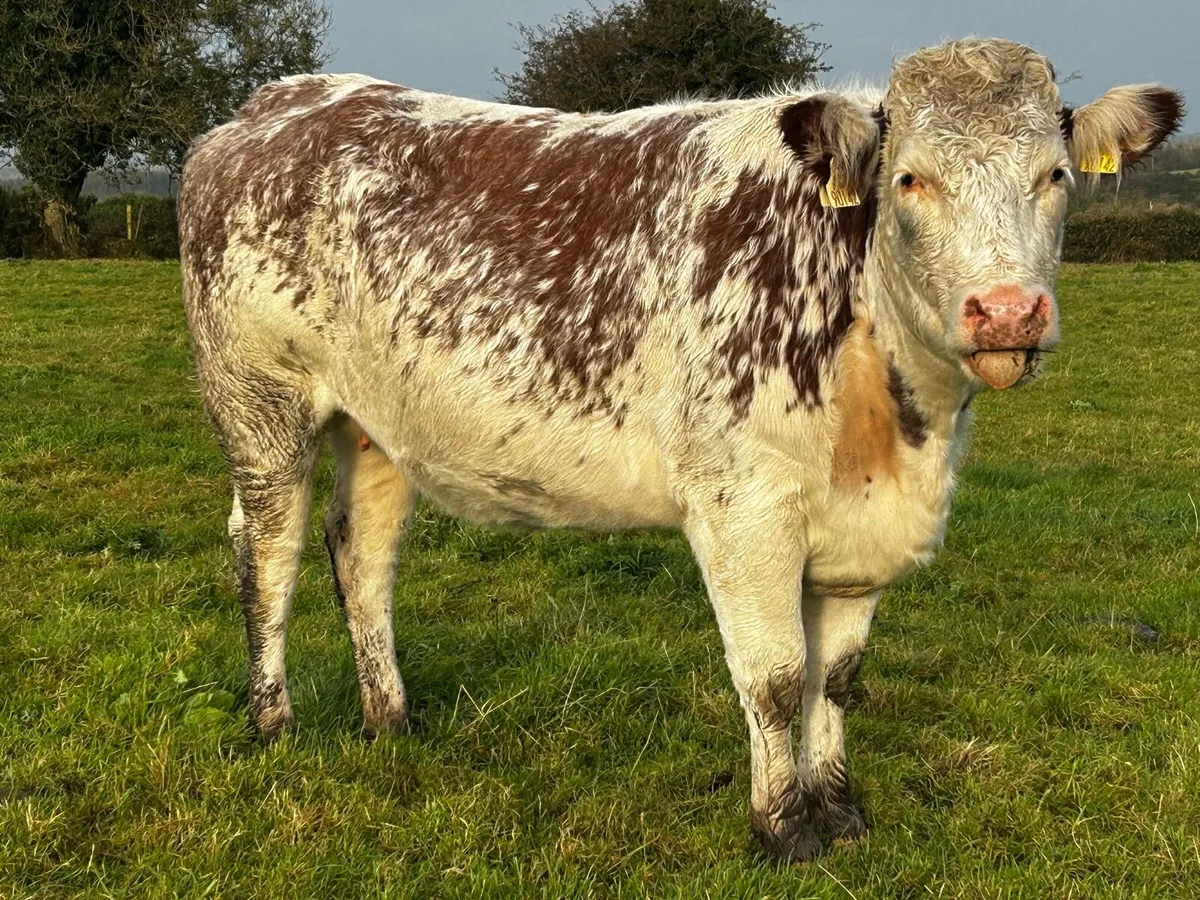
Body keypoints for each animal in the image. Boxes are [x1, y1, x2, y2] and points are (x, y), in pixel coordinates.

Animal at [178, 38, 1183, 862]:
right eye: (910, 180)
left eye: (1056, 175)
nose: (1007, 312)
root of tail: (278, 103)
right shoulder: (743, 506)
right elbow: (776, 679)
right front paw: (783, 828)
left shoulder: (862, 526)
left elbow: (839, 678)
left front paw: (839, 811)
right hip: (259, 402)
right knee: (267, 554)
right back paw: (273, 721)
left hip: (380, 426)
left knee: (364, 558)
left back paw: (389, 722)